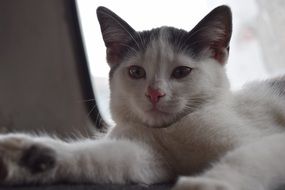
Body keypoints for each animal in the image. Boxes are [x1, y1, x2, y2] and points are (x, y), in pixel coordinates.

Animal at [0, 4, 284, 190]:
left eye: (182, 72)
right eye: (136, 72)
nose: (154, 93)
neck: (169, 130)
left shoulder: (265, 138)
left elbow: (246, 157)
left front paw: (207, 184)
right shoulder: (152, 159)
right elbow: (109, 158)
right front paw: (28, 156)